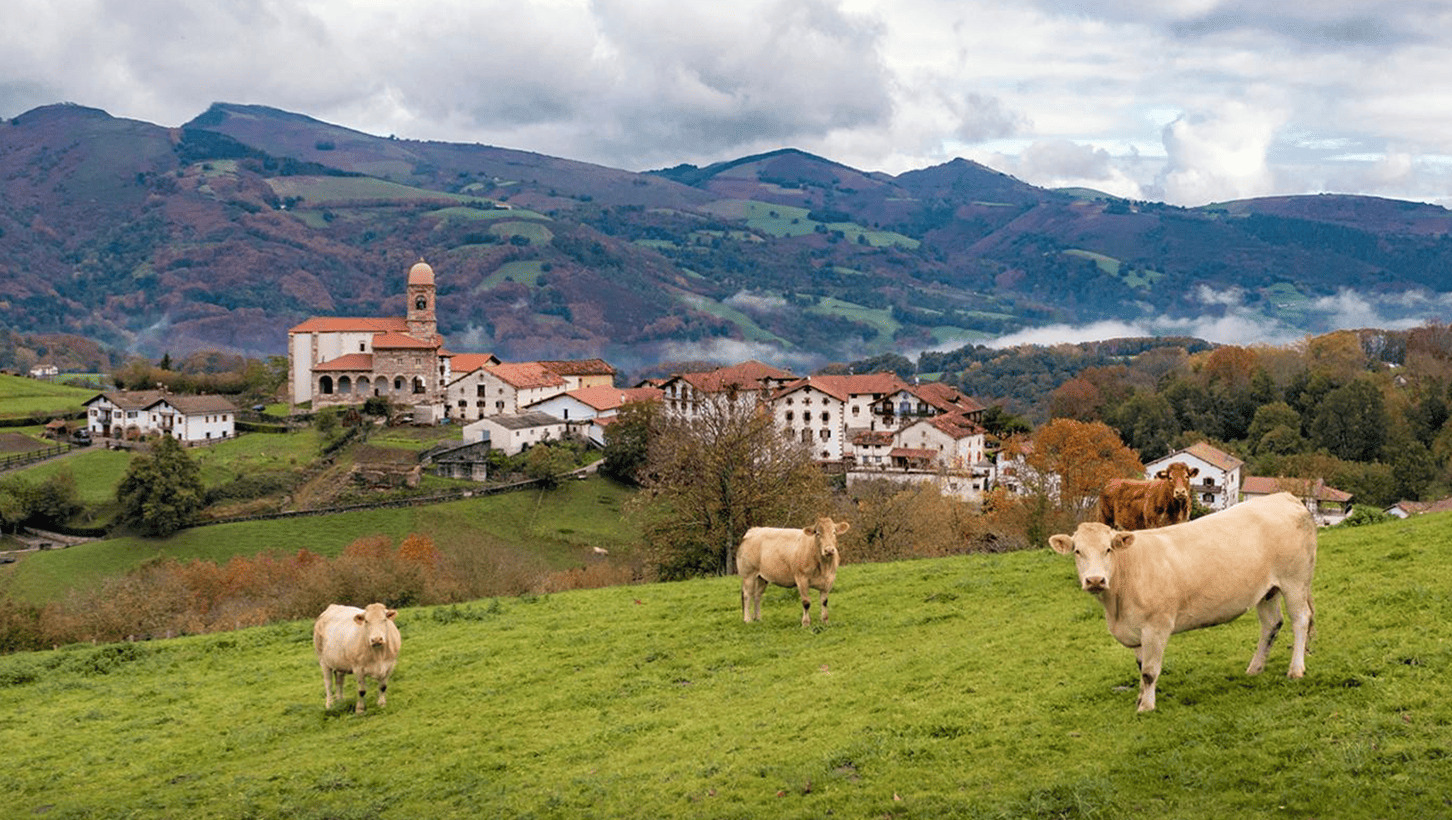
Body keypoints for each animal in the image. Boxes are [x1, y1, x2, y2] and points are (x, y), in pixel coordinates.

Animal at [1049, 492, 1316, 712]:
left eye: (1108, 549)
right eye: (1077, 551)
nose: (1095, 580)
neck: (1116, 607)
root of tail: (1285, 497)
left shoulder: (1156, 626)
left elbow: (1149, 671)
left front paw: (1146, 707)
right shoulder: (1135, 631)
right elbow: (1141, 667)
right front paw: (1140, 698)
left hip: (1295, 581)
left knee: (1300, 620)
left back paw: (1295, 670)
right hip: (1268, 591)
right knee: (1271, 624)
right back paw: (1255, 669)